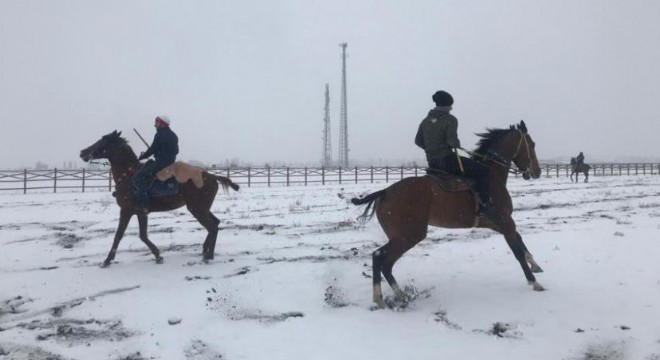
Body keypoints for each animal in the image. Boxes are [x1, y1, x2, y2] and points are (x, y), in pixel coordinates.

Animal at [79, 131, 240, 266]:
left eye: (104, 141)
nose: (83, 152)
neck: (129, 177)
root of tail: (212, 176)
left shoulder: (132, 211)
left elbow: (137, 235)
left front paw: (157, 255)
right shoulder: (132, 212)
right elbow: (122, 235)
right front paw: (109, 259)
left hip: (197, 209)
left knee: (212, 227)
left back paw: (208, 256)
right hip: (202, 208)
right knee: (215, 223)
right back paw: (205, 249)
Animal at [354, 122, 544, 308]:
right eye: (532, 144)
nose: (537, 172)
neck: (492, 177)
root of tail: (384, 192)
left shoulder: (498, 223)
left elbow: (520, 241)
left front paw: (535, 265)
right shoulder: (505, 221)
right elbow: (517, 250)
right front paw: (534, 282)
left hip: (401, 237)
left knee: (382, 261)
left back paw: (390, 296)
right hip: (408, 236)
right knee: (381, 259)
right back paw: (392, 297)